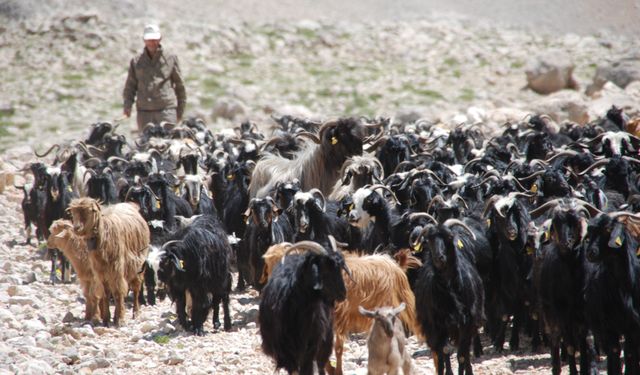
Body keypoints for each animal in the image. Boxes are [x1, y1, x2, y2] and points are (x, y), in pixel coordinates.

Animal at [67, 198, 150, 328]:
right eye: (73, 213)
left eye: (90, 211)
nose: (77, 228)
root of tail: (130, 205)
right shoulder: (100, 273)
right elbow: (106, 294)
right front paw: (106, 319)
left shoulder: (117, 270)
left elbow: (118, 293)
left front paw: (119, 319)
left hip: (138, 264)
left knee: (136, 288)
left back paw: (136, 312)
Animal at [262, 244, 422, 375]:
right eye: (269, 265)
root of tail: (393, 263)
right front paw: (330, 368)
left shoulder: (340, 317)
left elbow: (337, 348)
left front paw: (336, 370)